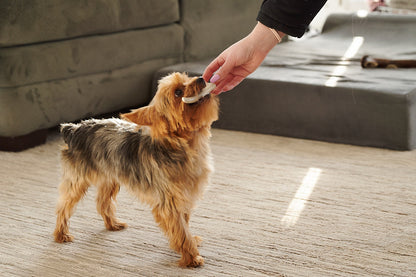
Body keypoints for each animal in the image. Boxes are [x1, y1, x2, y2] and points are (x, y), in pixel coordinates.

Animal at [53, 72, 219, 266]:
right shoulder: (169, 201)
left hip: (110, 177)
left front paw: (189, 243)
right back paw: (61, 234)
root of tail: (73, 128)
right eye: (178, 92)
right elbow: (180, 228)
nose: (201, 78)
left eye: (187, 78)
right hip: (78, 180)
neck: (184, 144)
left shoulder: (184, 196)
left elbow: (183, 224)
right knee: (63, 205)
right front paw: (191, 256)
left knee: (102, 203)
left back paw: (112, 224)